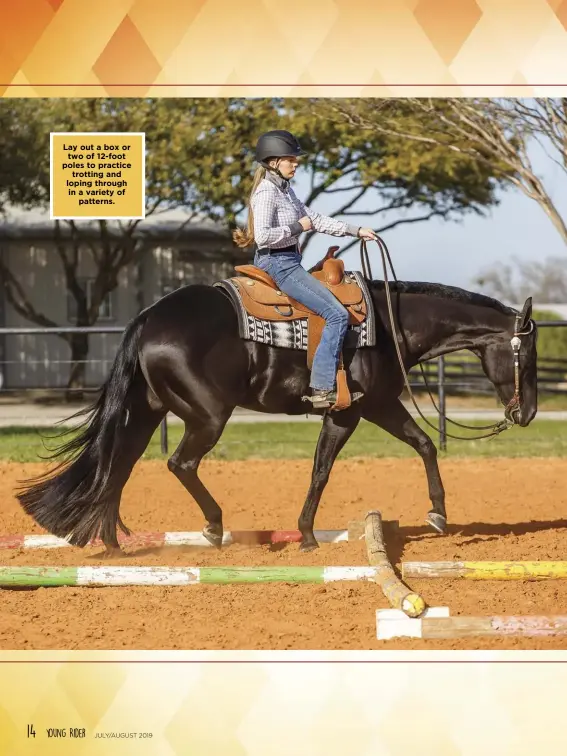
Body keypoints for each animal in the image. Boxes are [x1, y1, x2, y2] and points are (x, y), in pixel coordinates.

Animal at [14, 274, 536, 552]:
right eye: (526, 356)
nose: (527, 413)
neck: (389, 326)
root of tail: (148, 318)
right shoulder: (351, 413)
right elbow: (321, 470)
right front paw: (306, 535)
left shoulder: (379, 406)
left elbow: (425, 443)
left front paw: (438, 514)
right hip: (207, 416)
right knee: (179, 463)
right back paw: (213, 526)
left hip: (145, 414)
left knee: (116, 465)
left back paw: (111, 543)